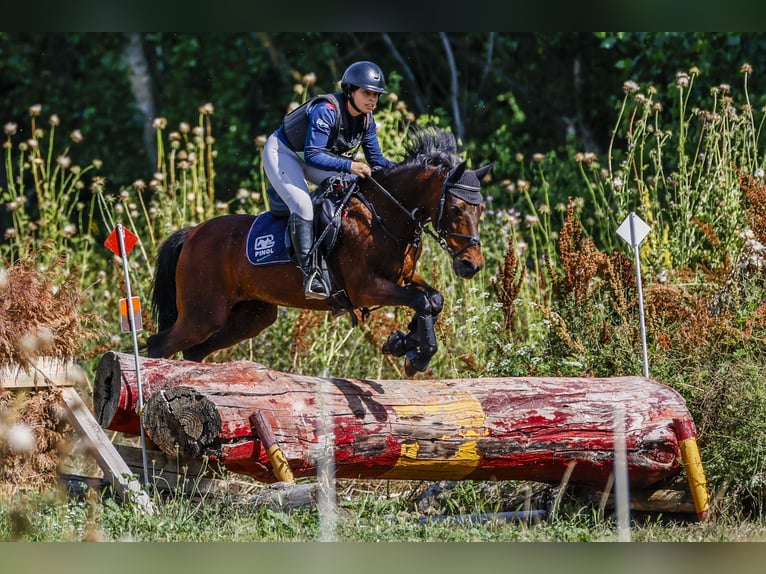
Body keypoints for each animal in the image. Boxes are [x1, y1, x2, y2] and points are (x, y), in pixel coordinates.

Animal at [147, 127, 496, 376]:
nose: (472, 265)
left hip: (249, 316)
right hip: (203, 313)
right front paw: (415, 353)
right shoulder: (366, 288)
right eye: (455, 208)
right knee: (159, 344)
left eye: (480, 210)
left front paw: (406, 345)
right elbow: (422, 301)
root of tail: (192, 233)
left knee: (195, 351)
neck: (383, 215)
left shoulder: (403, 278)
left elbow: (433, 300)